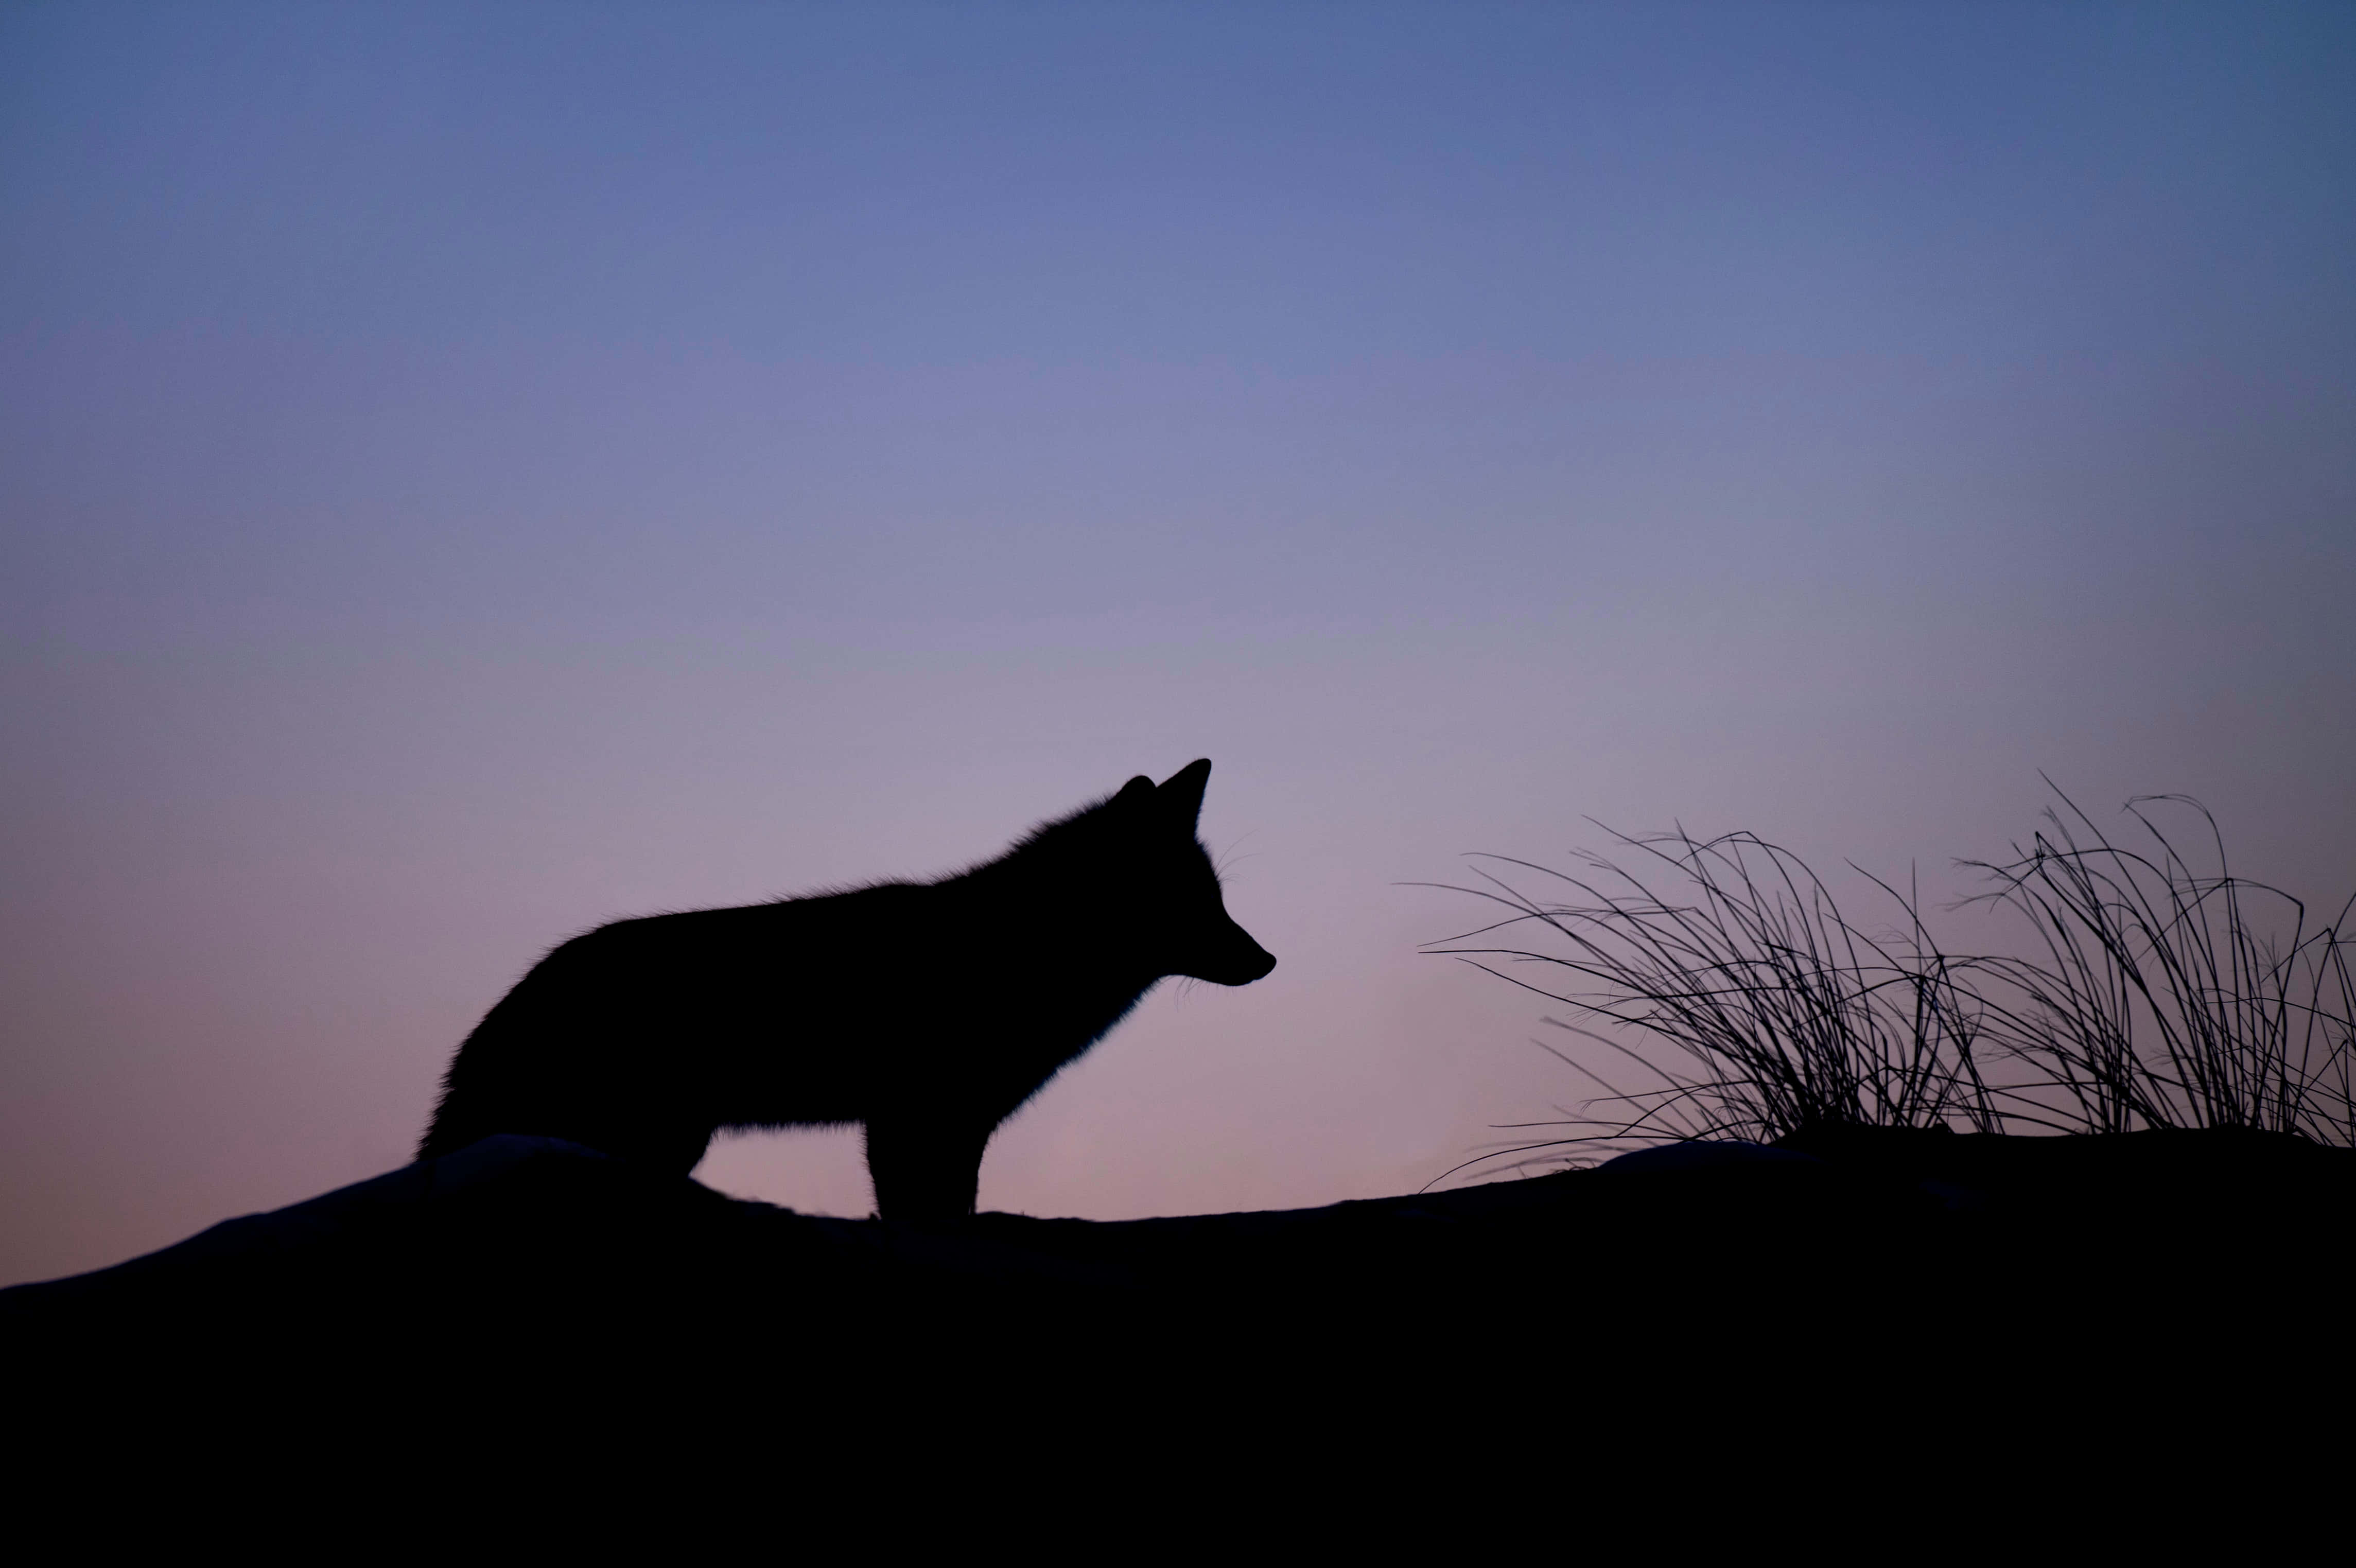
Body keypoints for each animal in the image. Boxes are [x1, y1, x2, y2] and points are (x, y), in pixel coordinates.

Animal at [418, 759, 1275, 1223]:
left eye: (1217, 899)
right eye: (1195, 903)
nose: (1267, 960)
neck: (1021, 950)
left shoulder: (954, 1124)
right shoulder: (914, 1119)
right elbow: (924, 1213)